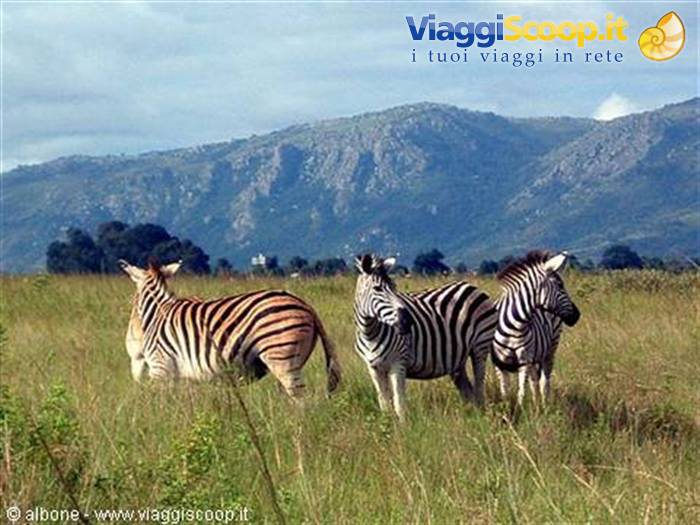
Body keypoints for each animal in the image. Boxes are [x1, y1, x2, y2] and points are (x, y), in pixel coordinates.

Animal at [119, 259, 341, 397]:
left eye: (134, 301)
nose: (131, 343)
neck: (158, 312)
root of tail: (306, 306)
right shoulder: (183, 374)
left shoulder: (160, 367)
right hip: (294, 359)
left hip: (281, 356)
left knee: (300, 399)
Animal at [353, 254, 497, 420]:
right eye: (377, 289)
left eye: (394, 287)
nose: (407, 321)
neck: (370, 333)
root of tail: (471, 286)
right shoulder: (373, 368)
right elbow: (384, 403)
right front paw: (387, 424)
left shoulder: (398, 363)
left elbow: (399, 403)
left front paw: (403, 426)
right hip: (457, 359)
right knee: (468, 391)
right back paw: (473, 417)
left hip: (480, 346)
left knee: (479, 386)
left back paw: (482, 417)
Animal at [491, 250, 580, 408]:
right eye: (560, 285)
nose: (577, 315)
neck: (513, 324)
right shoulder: (499, 362)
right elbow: (505, 391)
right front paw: (506, 409)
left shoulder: (524, 358)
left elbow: (521, 391)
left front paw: (521, 410)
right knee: (535, 382)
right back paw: (536, 405)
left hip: (550, 349)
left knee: (544, 382)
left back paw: (544, 407)